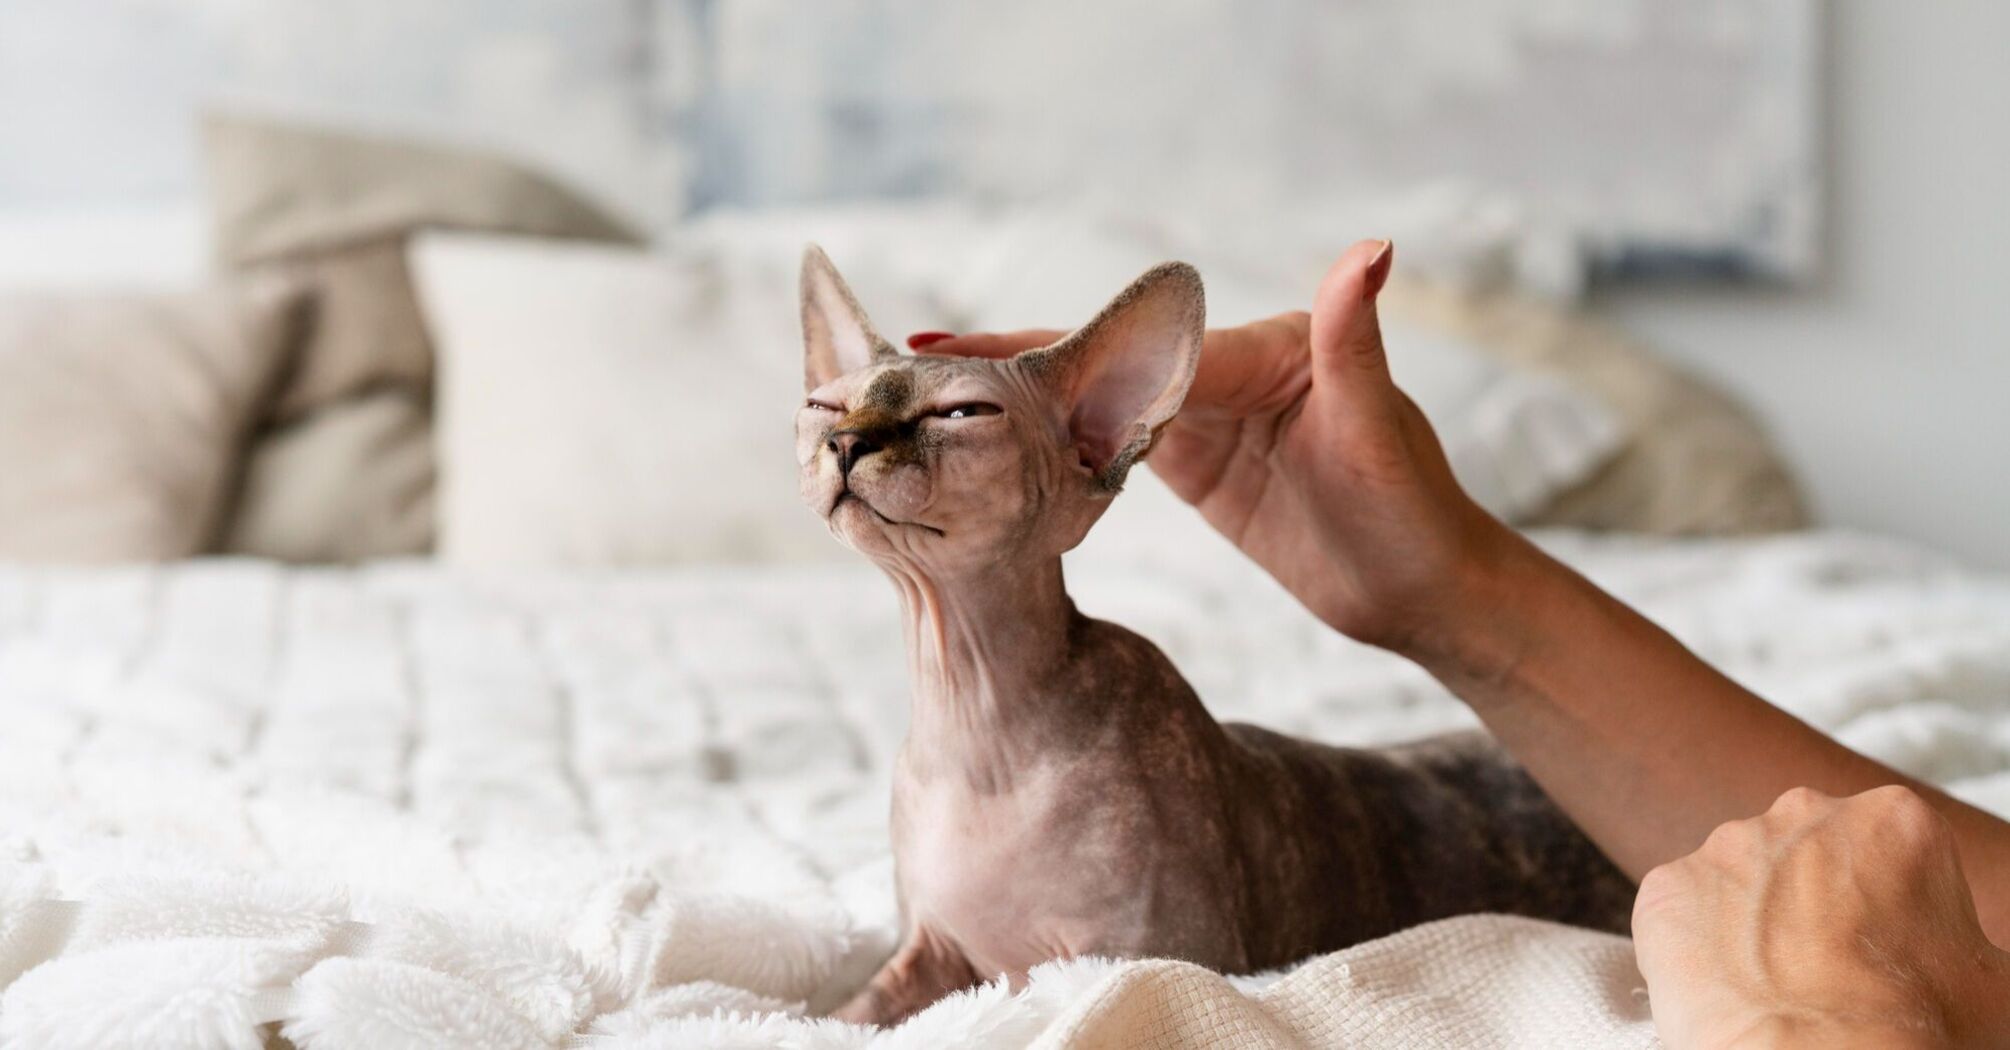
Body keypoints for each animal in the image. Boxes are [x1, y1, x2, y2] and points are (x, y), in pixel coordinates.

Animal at [791, 245, 1640, 1021]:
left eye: (961, 414)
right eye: (824, 405)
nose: (846, 442)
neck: (970, 714)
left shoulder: (1132, 954)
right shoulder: (931, 950)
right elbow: (842, 1017)